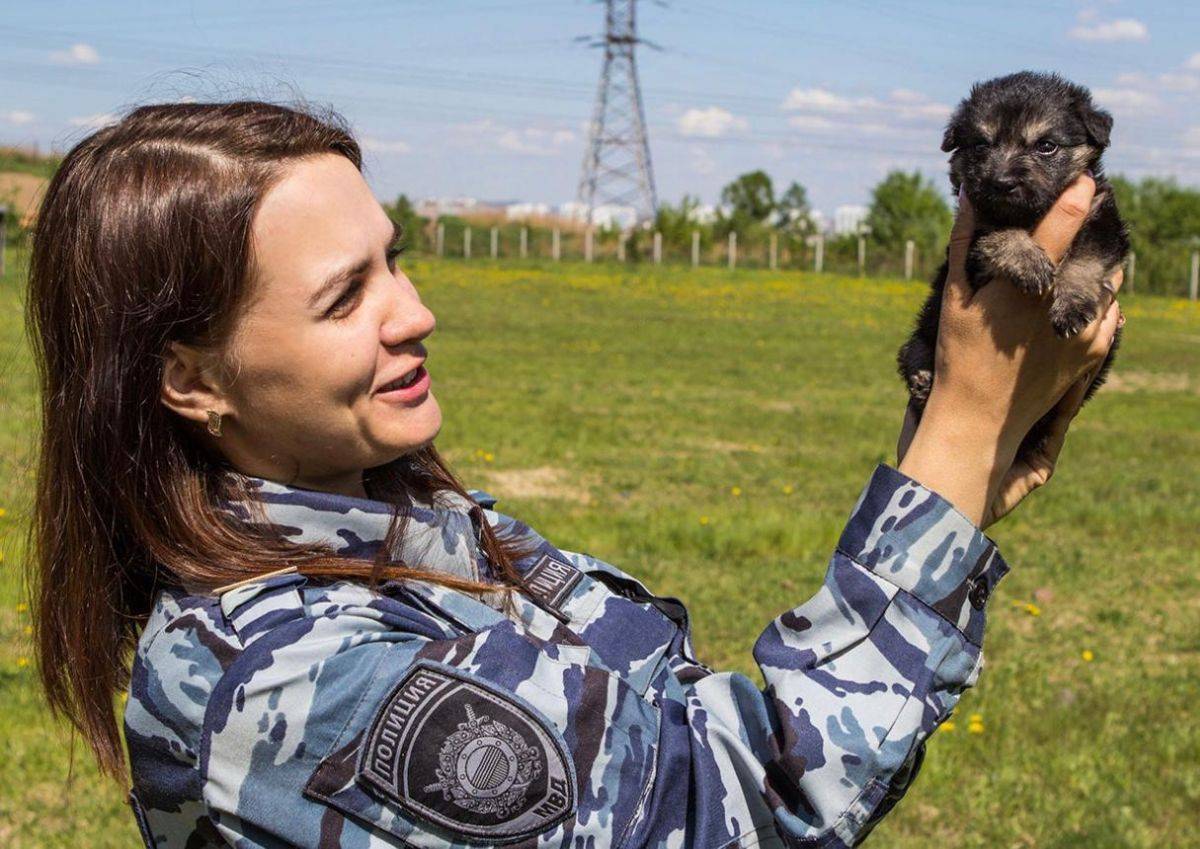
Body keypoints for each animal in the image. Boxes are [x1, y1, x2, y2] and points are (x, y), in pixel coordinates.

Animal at [898, 71, 1130, 458]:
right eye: (981, 146)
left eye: (1046, 146)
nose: (1002, 182)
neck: (1032, 215)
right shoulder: (974, 237)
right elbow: (999, 233)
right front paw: (1029, 261)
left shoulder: (1103, 220)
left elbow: (1085, 261)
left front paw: (1071, 306)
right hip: (919, 337)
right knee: (912, 356)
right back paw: (924, 381)